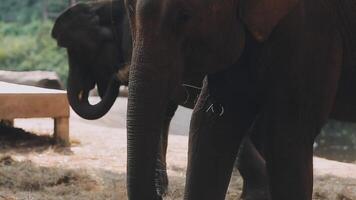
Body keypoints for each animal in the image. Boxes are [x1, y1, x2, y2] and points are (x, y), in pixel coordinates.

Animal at [119, 0, 356, 199]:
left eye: (185, 15)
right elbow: (212, 125)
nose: (162, 193)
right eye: (129, 7)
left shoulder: (316, 29)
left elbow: (288, 136)